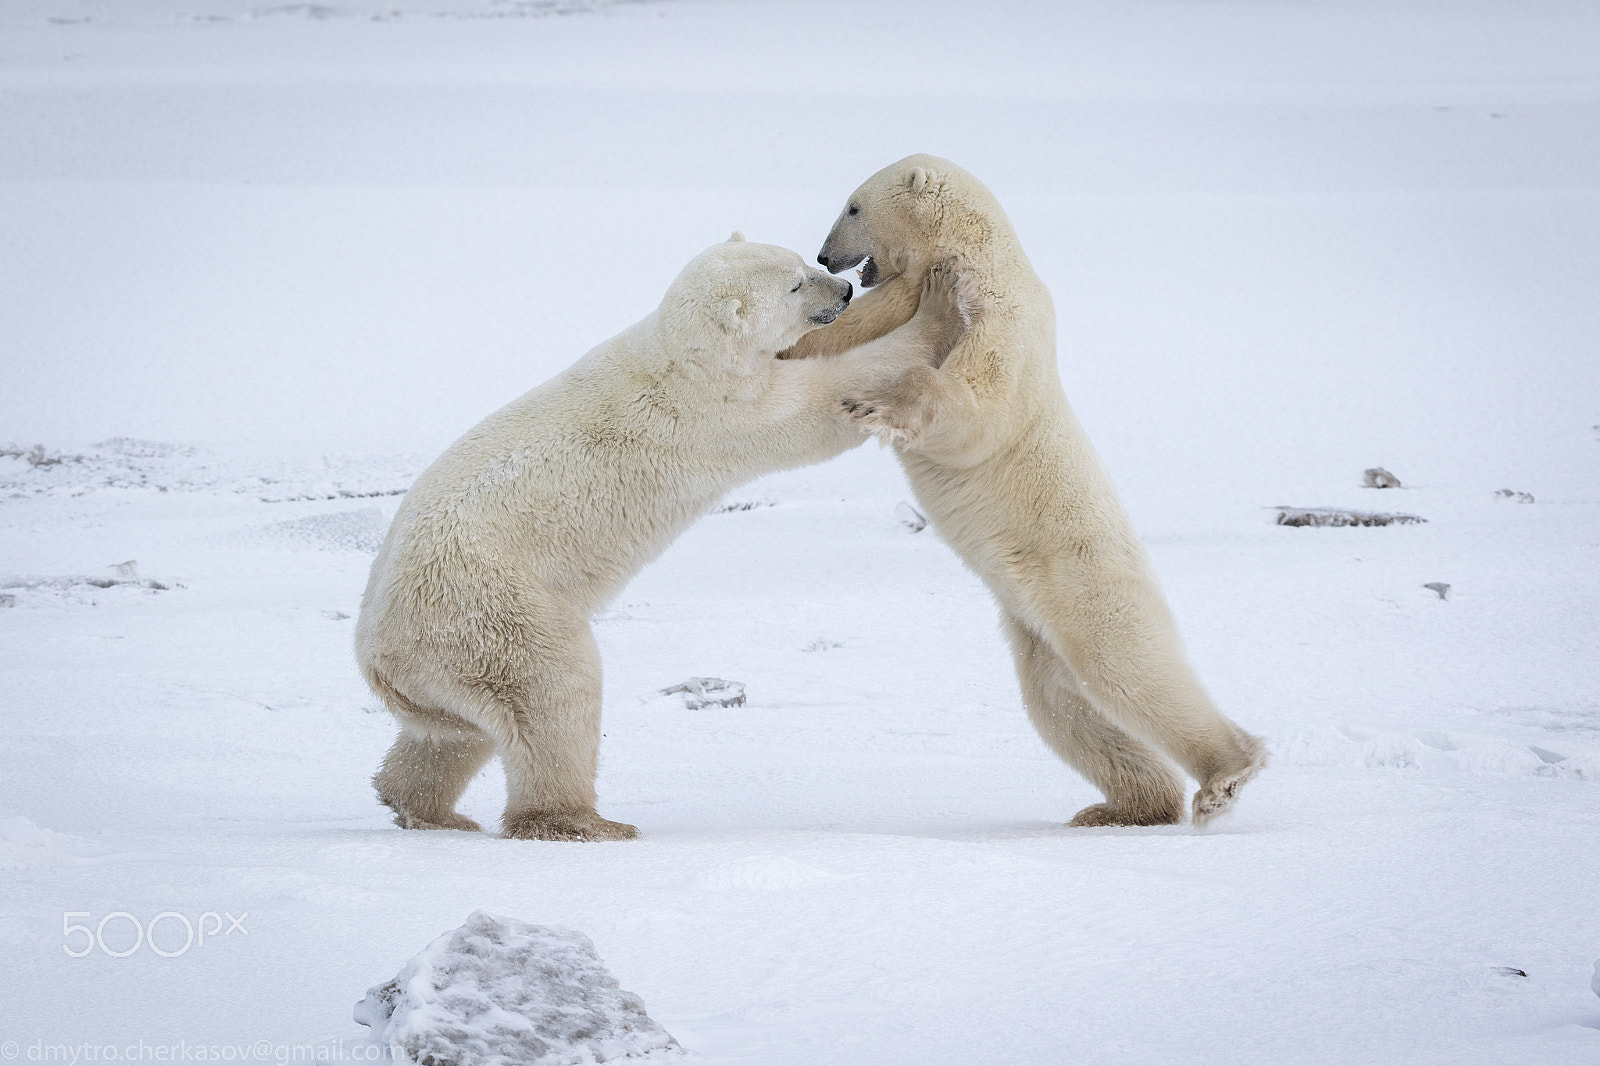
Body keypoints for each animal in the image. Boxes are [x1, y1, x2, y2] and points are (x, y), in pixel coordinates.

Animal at [355, 235, 973, 841]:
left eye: (803, 261)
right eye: (797, 284)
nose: (843, 290)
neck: (683, 355)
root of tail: (379, 658)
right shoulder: (718, 415)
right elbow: (824, 399)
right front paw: (939, 302)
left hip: (444, 669)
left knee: (455, 733)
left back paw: (421, 806)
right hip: (488, 611)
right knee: (553, 693)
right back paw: (580, 821)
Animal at [783, 155, 1266, 826]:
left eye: (853, 205)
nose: (826, 257)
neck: (969, 254)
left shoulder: (1001, 311)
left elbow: (979, 404)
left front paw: (874, 404)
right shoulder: (902, 298)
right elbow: (839, 339)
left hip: (1085, 584)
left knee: (1131, 669)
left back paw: (1226, 777)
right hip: (1037, 636)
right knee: (1067, 710)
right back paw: (1122, 808)